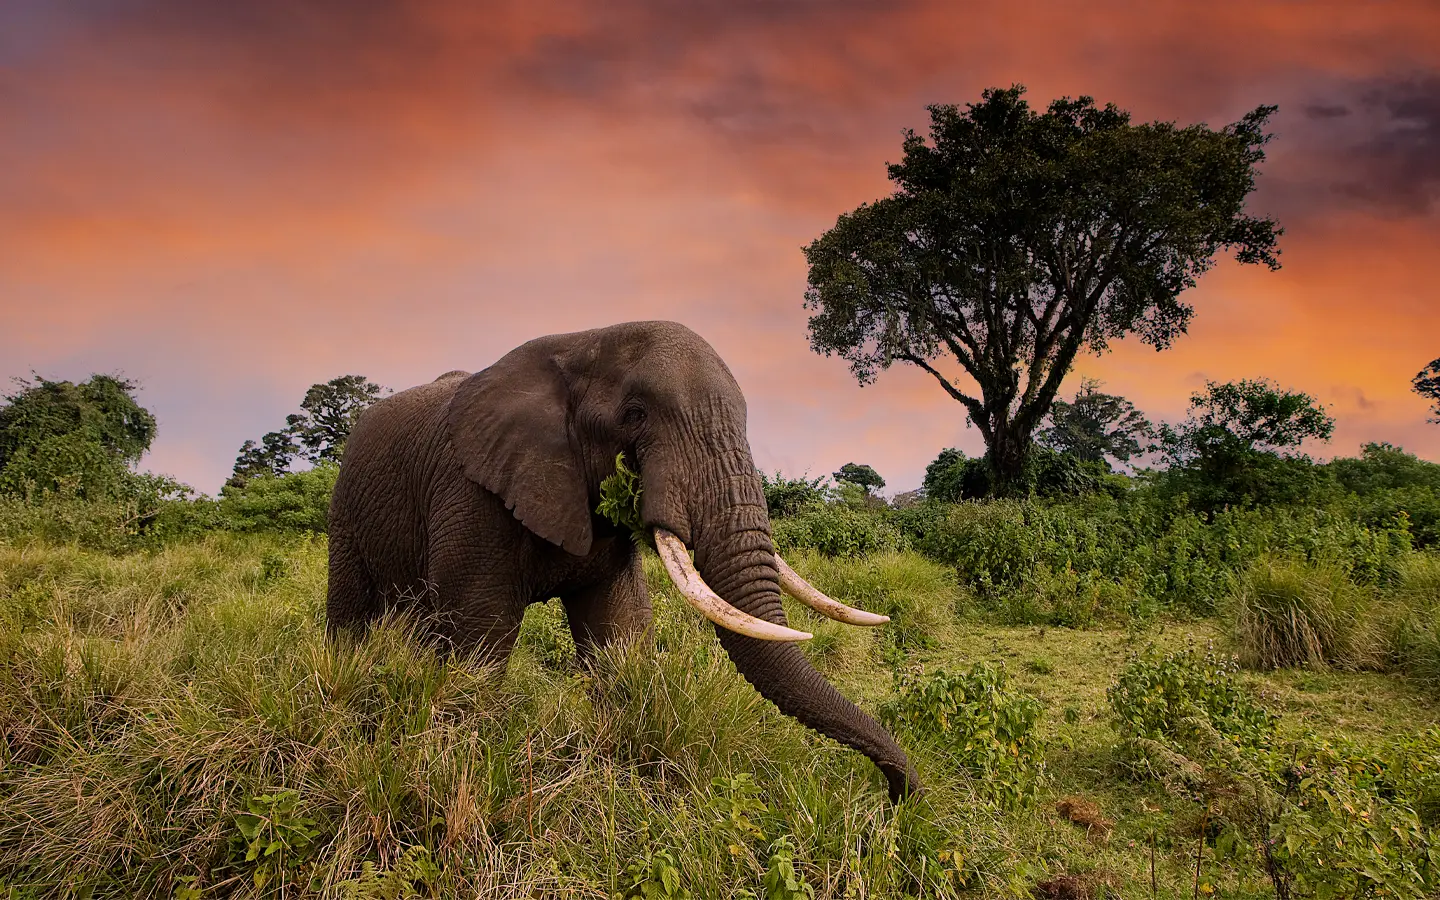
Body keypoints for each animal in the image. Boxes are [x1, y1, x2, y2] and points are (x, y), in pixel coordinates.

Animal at [326, 320, 922, 801]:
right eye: (634, 416)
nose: (897, 798)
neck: (580, 342)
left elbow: (619, 634)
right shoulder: (470, 496)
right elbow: (480, 641)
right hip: (345, 511)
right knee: (352, 614)